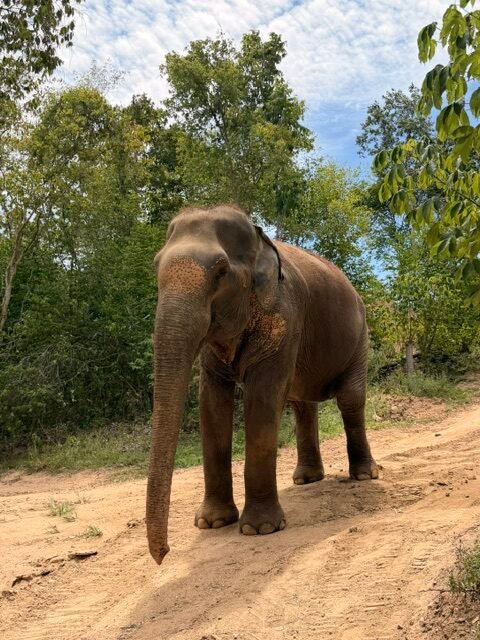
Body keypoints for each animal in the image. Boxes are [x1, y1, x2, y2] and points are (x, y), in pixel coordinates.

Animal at [147, 203, 379, 565]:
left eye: (221, 271)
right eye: (156, 266)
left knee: (350, 399)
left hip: (360, 337)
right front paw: (212, 523)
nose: (163, 555)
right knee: (302, 404)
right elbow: (212, 402)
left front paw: (261, 529)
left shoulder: (284, 314)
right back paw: (306, 481)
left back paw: (365, 475)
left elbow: (264, 397)